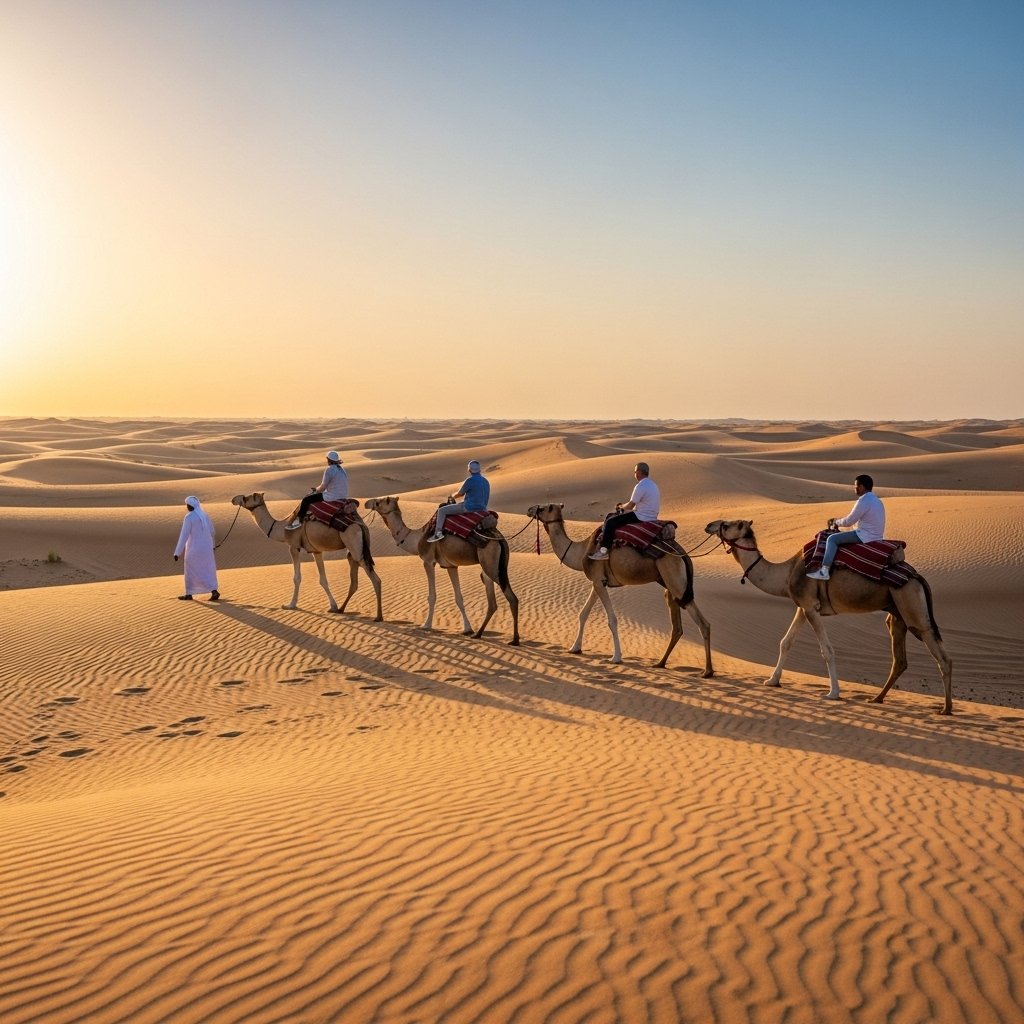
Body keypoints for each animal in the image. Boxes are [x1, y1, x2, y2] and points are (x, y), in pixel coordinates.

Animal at [231, 492, 383, 621]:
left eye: (245, 498)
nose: (233, 499)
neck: (282, 528)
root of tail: (361, 525)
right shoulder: (316, 551)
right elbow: (323, 580)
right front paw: (333, 606)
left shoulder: (293, 547)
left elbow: (297, 578)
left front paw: (290, 605)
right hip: (355, 550)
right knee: (354, 579)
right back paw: (341, 609)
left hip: (354, 544)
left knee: (375, 580)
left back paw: (378, 617)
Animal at [364, 496, 519, 644]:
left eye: (378, 502)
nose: (366, 503)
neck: (417, 538)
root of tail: (500, 539)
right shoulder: (451, 566)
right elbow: (459, 598)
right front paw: (467, 629)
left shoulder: (428, 561)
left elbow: (432, 596)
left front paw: (426, 625)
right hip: (493, 566)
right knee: (492, 601)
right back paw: (477, 634)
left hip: (492, 565)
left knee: (512, 598)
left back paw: (514, 640)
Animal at [527, 503, 713, 674]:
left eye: (543, 508)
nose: (530, 509)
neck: (581, 551)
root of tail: (683, 553)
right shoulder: (598, 581)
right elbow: (583, 614)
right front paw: (575, 648)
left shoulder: (598, 580)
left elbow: (612, 620)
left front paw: (616, 657)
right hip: (670, 585)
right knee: (677, 626)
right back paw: (660, 663)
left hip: (675, 580)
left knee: (702, 623)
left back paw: (707, 671)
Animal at [705, 519, 953, 714]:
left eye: (726, 525)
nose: (709, 525)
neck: (787, 573)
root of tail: (916, 576)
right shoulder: (803, 606)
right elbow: (786, 642)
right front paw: (772, 681)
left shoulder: (809, 606)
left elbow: (827, 650)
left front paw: (833, 693)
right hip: (897, 613)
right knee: (900, 658)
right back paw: (876, 698)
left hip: (911, 605)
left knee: (941, 655)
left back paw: (946, 709)